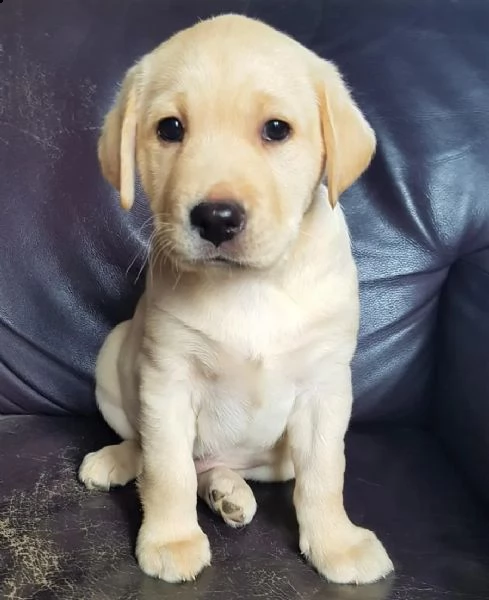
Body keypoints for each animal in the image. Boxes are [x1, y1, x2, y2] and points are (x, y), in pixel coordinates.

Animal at [79, 12, 392, 584]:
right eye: (170, 129)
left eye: (276, 129)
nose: (216, 218)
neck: (250, 285)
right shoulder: (167, 379)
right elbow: (167, 470)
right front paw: (171, 538)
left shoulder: (326, 387)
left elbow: (325, 475)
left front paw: (335, 543)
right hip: (115, 357)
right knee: (156, 452)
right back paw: (118, 461)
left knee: (217, 467)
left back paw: (228, 492)